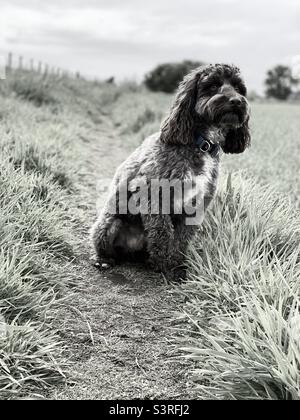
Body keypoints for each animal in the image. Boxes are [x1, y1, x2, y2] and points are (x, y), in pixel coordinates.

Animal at [91, 64, 251, 280]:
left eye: (238, 88)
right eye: (212, 85)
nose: (236, 101)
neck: (201, 143)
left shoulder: (198, 202)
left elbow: (183, 236)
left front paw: (177, 262)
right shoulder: (153, 195)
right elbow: (162, 232)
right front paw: (165, 264)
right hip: (109, 222)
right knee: (104, 244)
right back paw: (104, 259)